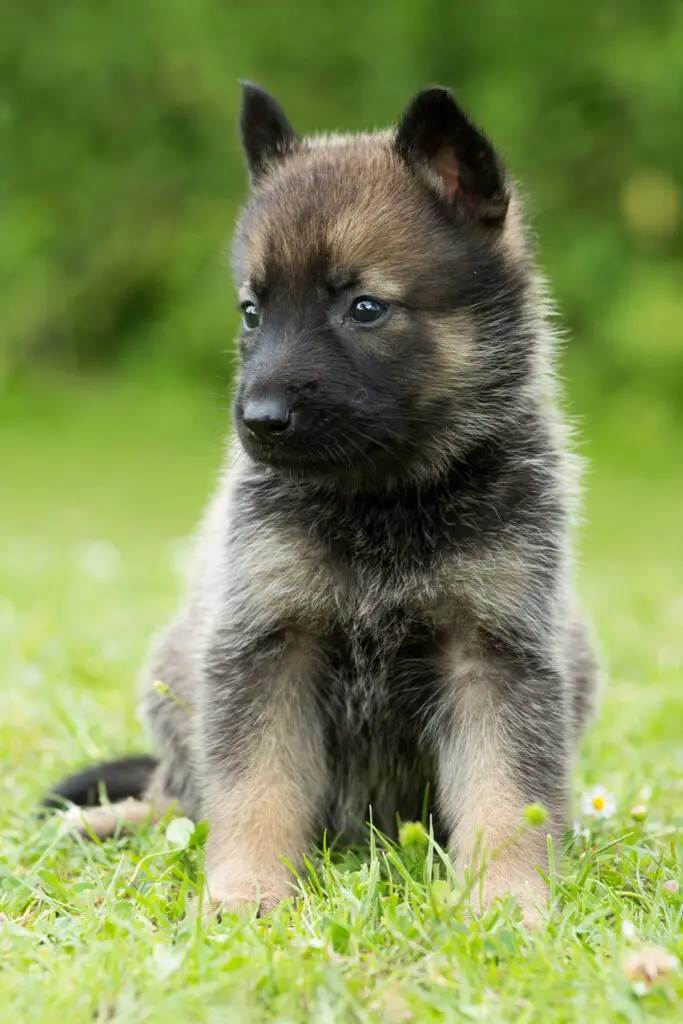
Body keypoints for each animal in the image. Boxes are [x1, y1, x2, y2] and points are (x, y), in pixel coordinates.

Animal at [46, 83, 598, 925]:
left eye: (364, 309)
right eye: (252, 312)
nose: (258, 419)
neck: (385, 500)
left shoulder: (494, 653)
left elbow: (507, 798)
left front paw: (506, 902)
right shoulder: (268, 644)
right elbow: (254, 790)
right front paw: (245, 892)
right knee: (180, 798)